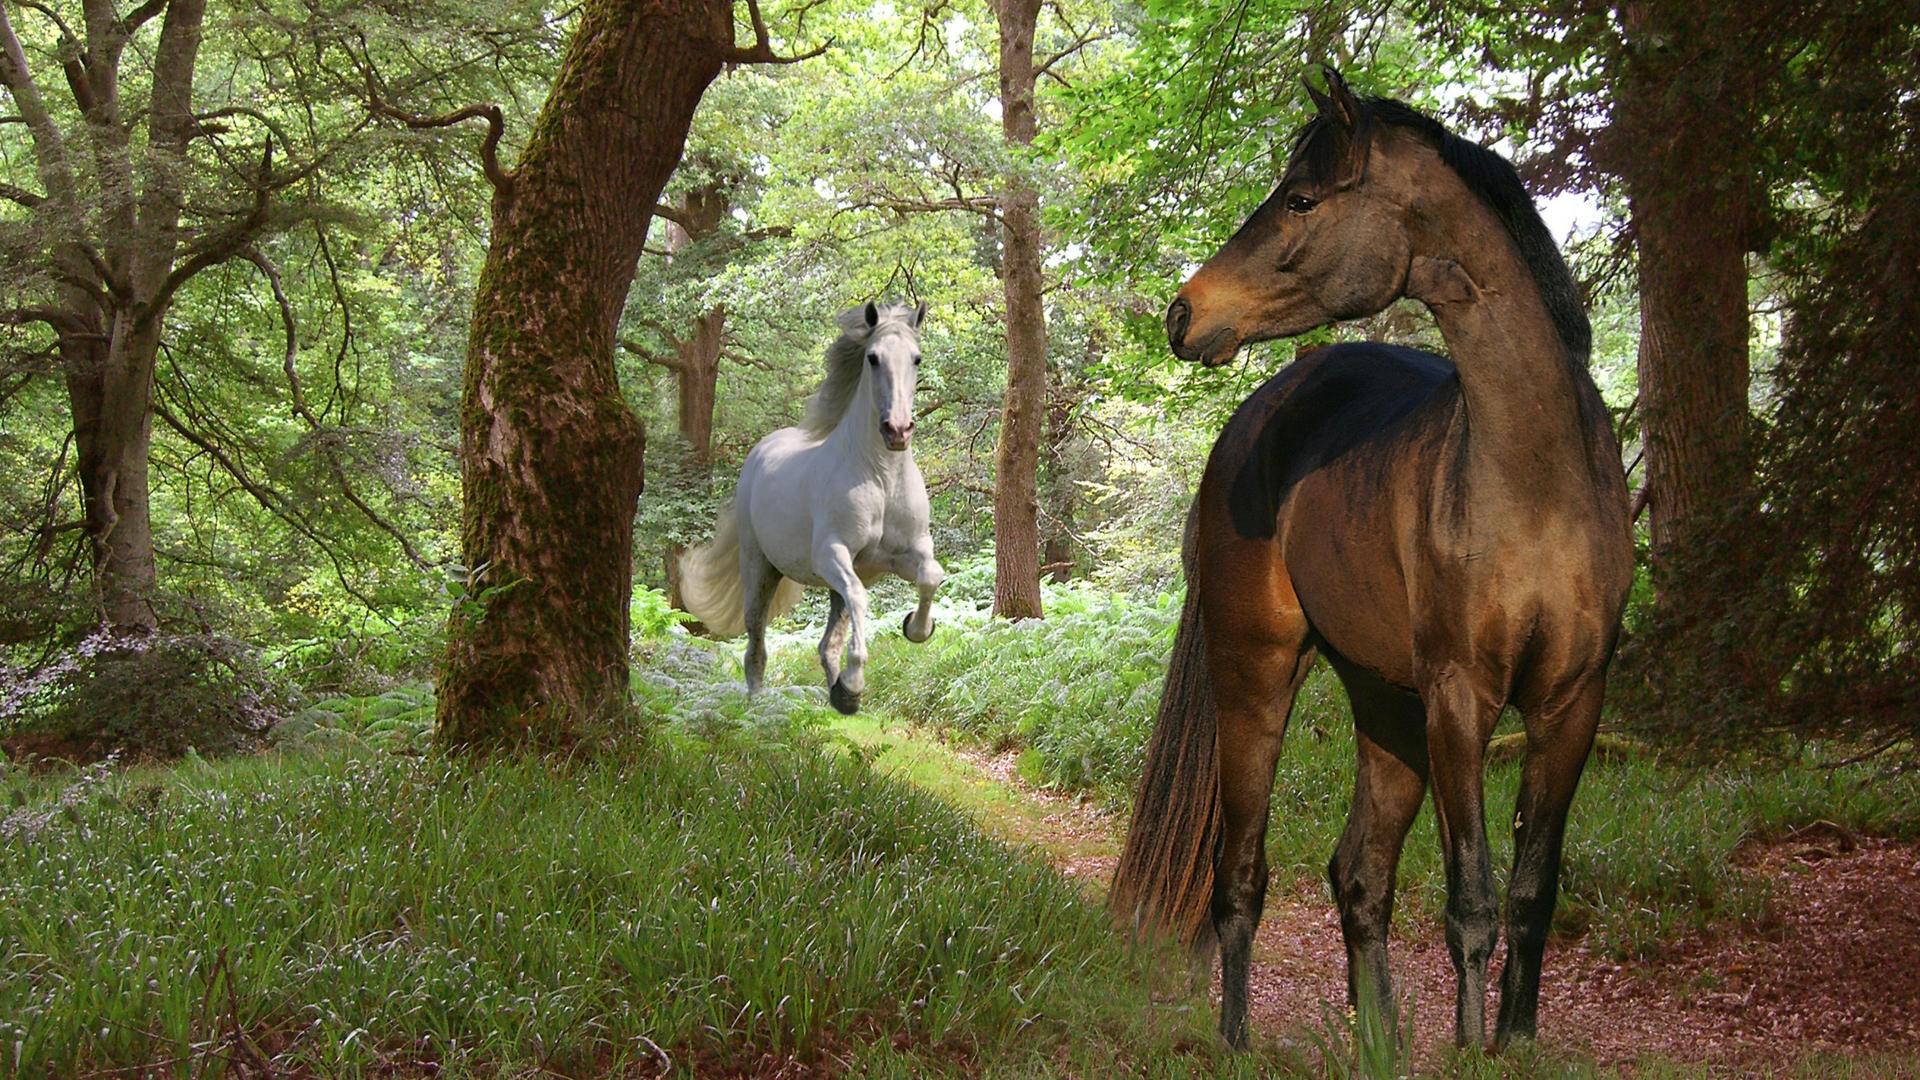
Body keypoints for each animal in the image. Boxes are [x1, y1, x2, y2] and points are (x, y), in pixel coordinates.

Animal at [683, 297, 944, 711]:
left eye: (916, 358)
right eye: (873, 358)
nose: (897, 431)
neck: (881, 477)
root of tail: (761, 450)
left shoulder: (906, 553)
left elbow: (930, 576)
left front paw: (916, 628)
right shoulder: (830, 553)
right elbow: (862, 598)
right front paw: (854, 683)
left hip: (829, 581)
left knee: (827, 642)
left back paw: (836, 693)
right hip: (760, 568)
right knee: (756, 643)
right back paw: (760, 707)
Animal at [1113, 71, 1635, 1045]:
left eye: (1302, 198)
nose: (1183, 311)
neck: (1538, 476)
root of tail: (1258, 417)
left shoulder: (1572, 704)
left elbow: (1530, 896)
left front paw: (1511, 1043)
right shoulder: (1462, 699)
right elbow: (1471, 903)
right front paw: (1471, 1051)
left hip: (1384, 702)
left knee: (1358, 876)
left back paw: (1378, 1042)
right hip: (1257, 677)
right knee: (1239, 876)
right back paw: (1235, 1040)